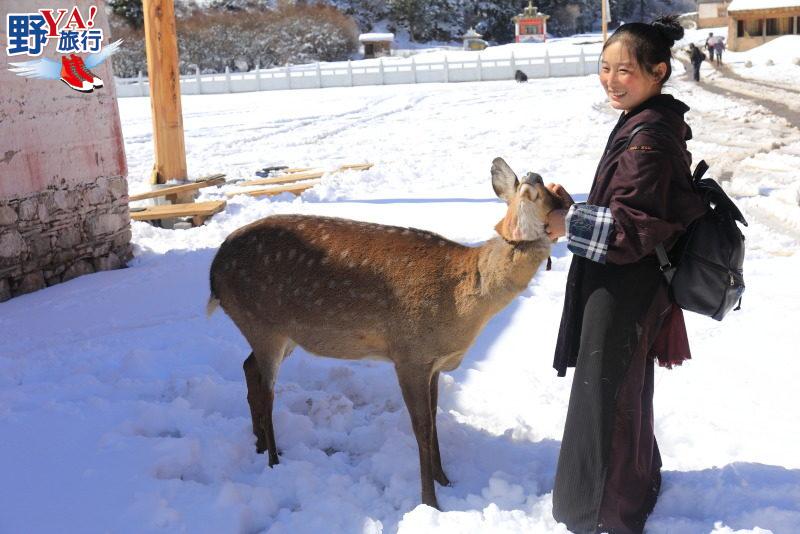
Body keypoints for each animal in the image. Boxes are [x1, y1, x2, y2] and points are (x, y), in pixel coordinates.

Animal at [206, 158, 564, 510]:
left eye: (554, 196)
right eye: (537, 191)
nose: (534, 175)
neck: (465, 299)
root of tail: (214, 274)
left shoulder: (433, 362)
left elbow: (434, 419)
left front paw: (444, 480)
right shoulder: (409, 355)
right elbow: (421, 427)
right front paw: (430, 502)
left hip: (281, 333)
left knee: (249, 369)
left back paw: (259, 445)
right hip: (263, 323)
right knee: (267, 391)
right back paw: (274, 460)